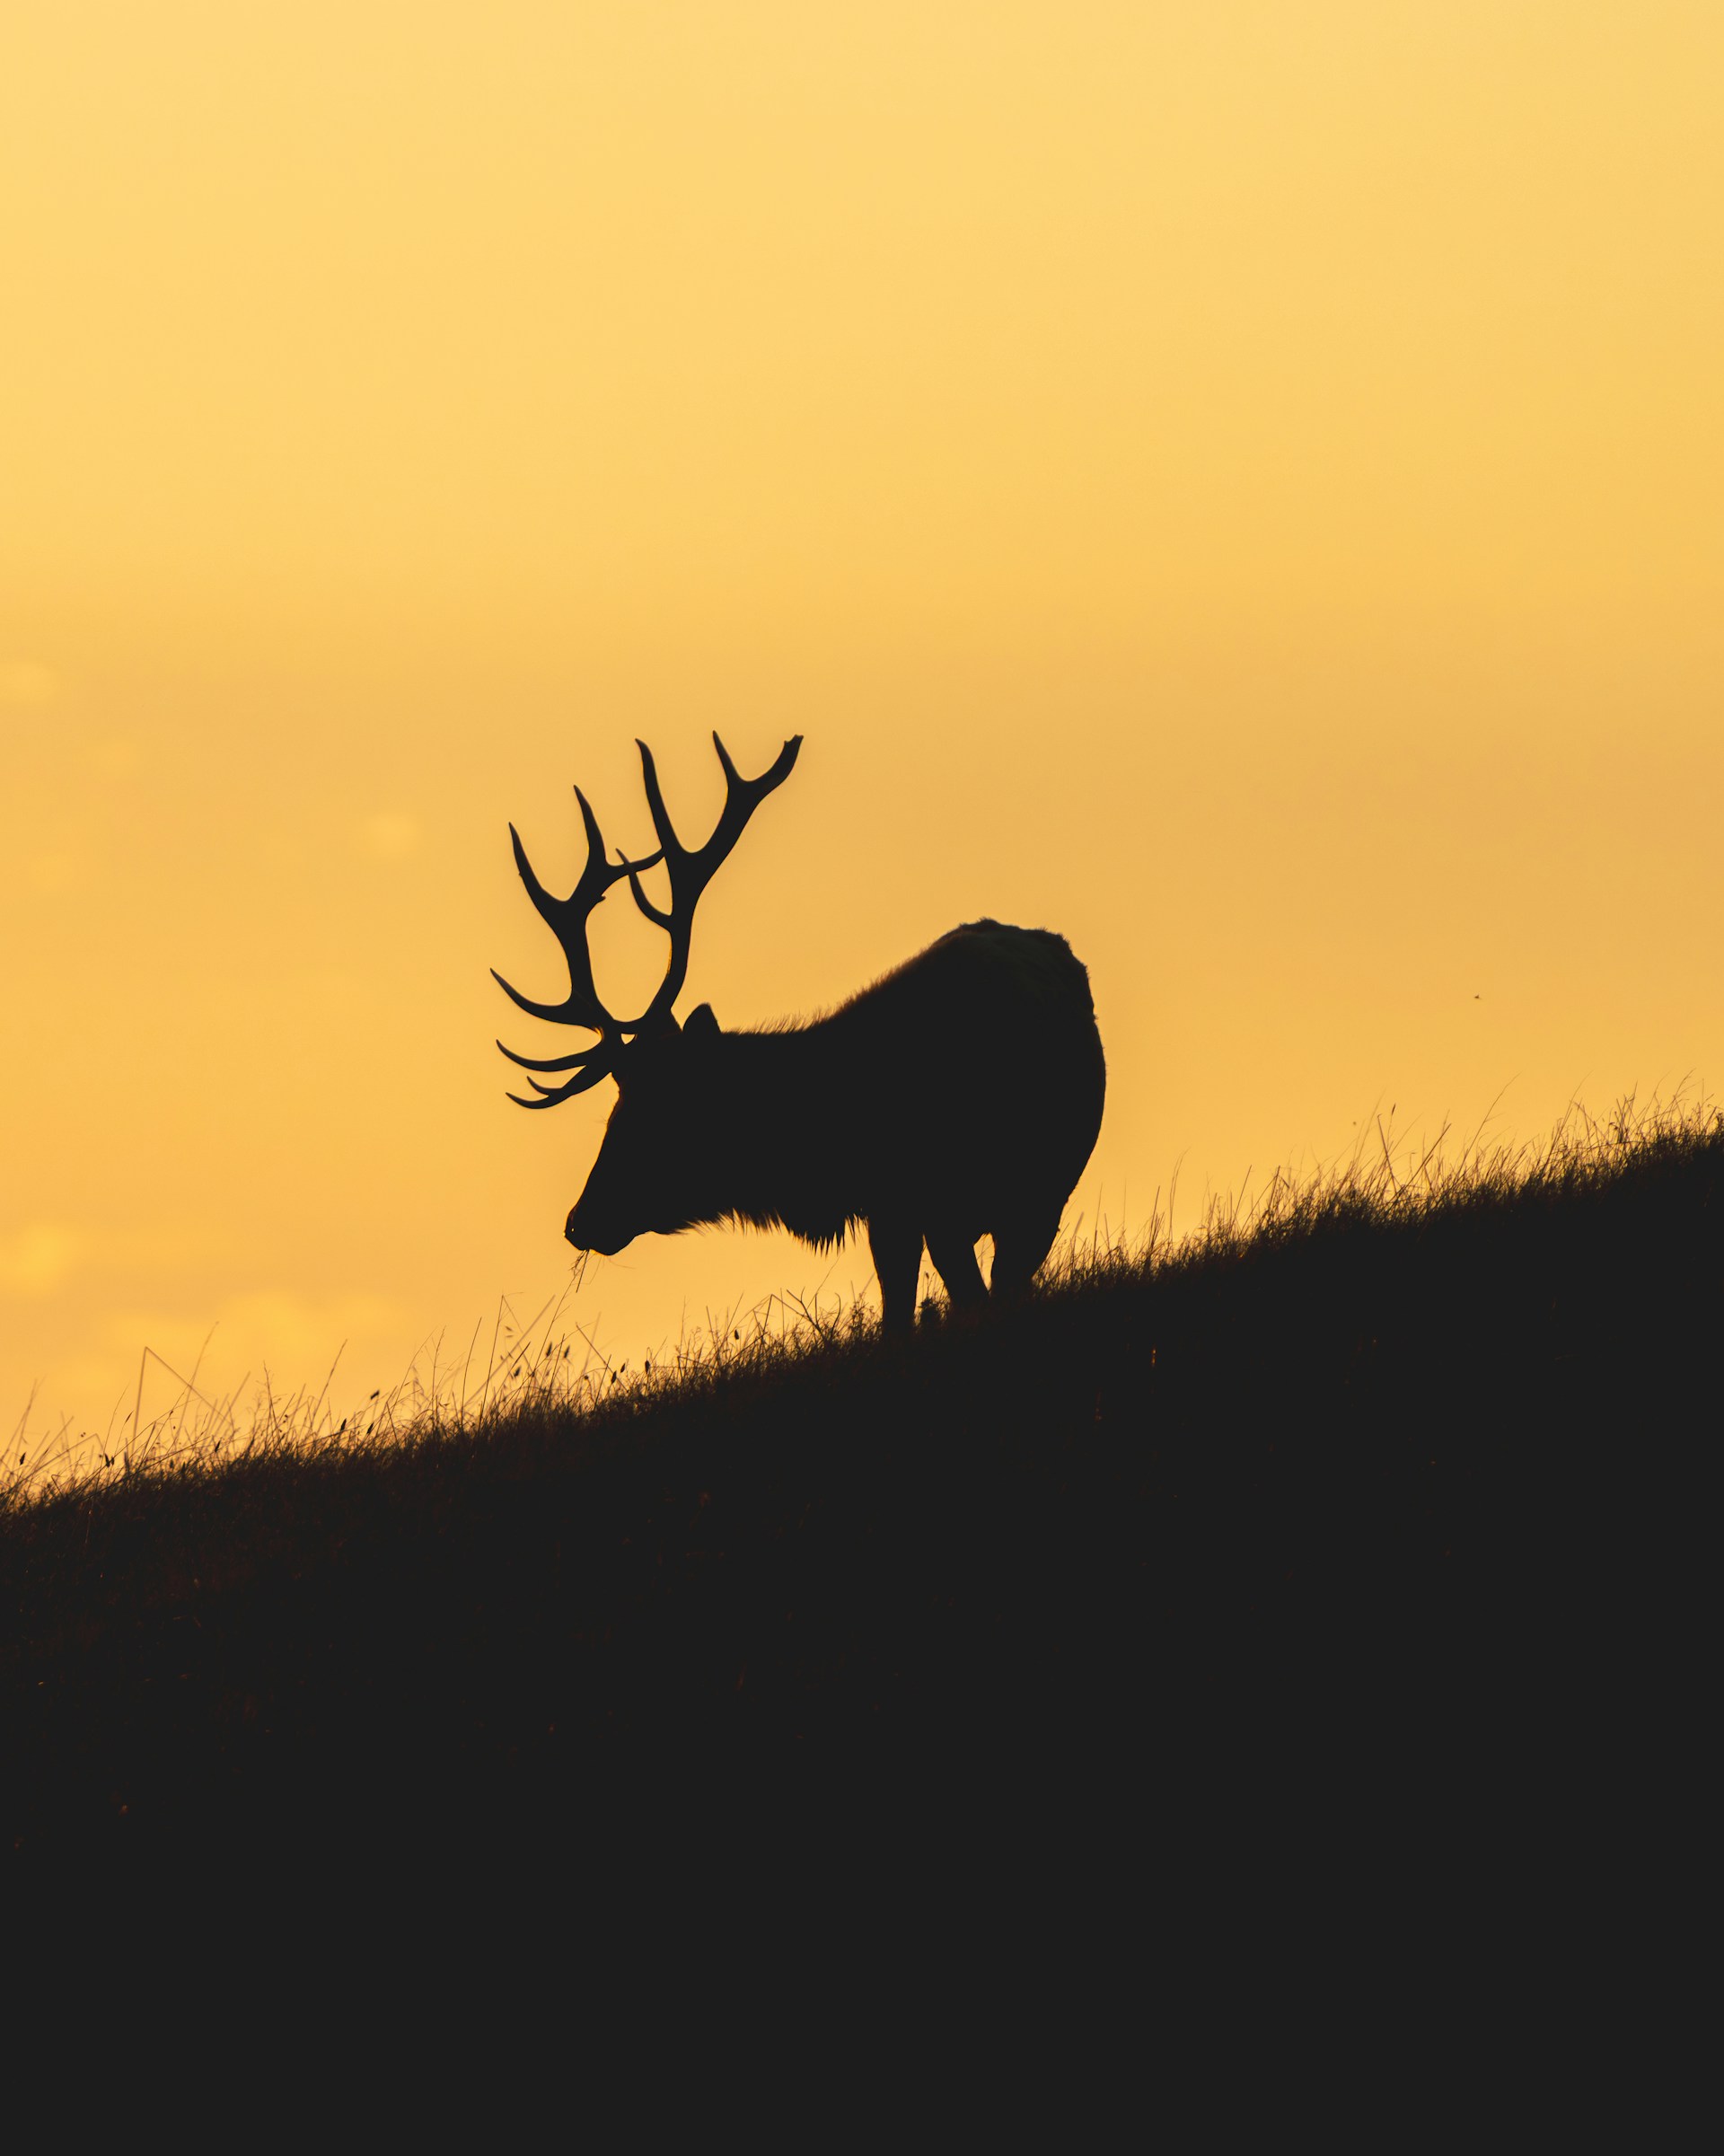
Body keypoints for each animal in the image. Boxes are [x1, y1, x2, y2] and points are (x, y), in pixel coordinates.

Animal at [493, 735, 1106, 1334]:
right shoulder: (896, 1210)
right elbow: (901, 1319)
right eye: (613, 1112)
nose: (579, 1221)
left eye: (652, 1114)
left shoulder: (999, 1202)